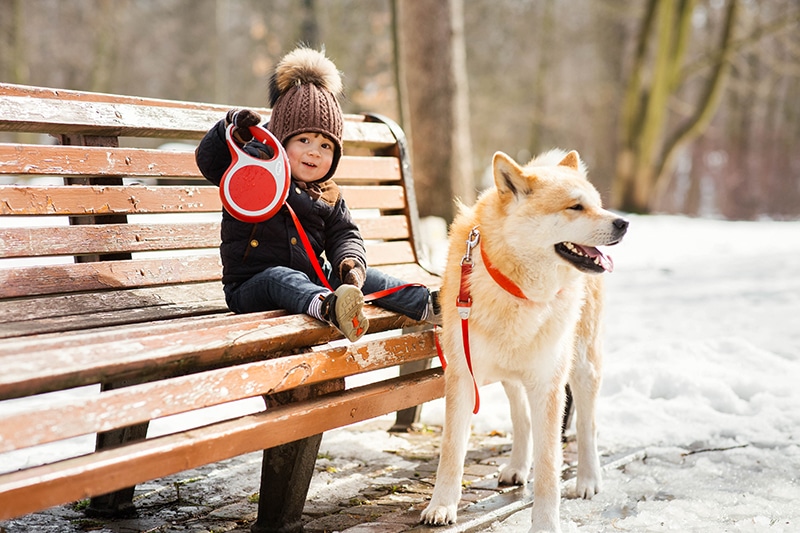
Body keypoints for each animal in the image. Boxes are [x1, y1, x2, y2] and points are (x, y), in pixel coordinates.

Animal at [422, 148, 628, 528]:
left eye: (597, 204)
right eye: (575, 207)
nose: (623, 223)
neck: (516, 289)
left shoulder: (548, 384)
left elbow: (549, 467)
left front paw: (546, 524)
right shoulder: (462, 377)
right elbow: (451, 452)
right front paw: (441, 506)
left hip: (582, 366)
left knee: (588, 425)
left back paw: (588, 479)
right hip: (512, 375)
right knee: (522, 419)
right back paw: (518, 467)